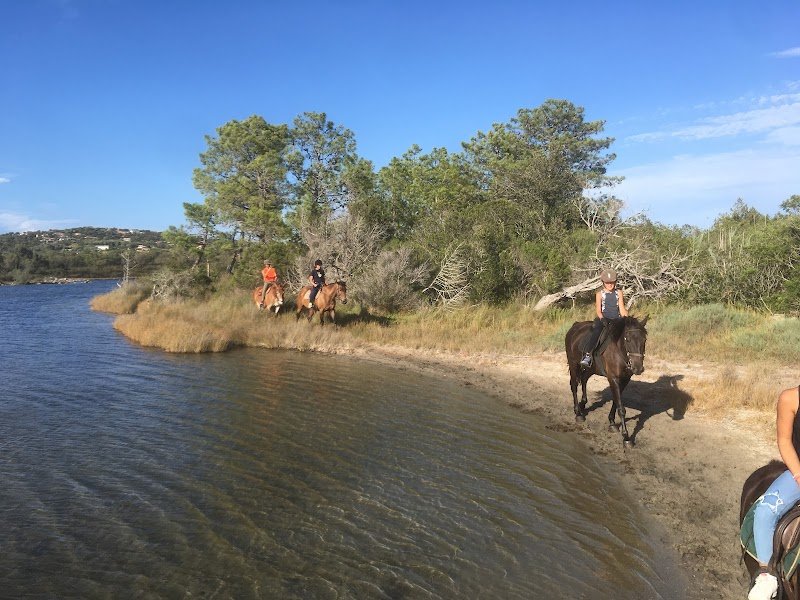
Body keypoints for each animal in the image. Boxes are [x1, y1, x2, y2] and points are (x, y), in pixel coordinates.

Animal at [564, 315, 648, 447]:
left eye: (644, 340)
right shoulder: (613, 378)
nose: (638, 368)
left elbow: (616, 401)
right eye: (627, 339)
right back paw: (578, 413)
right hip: (573, 364)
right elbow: (621, 409)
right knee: (574, 385)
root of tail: (575, 326)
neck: (619, 351)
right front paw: (626, 437)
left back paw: (582, 405)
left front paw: (612, 423)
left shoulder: (624, 380)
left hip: (591, 368)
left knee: (584, 379)